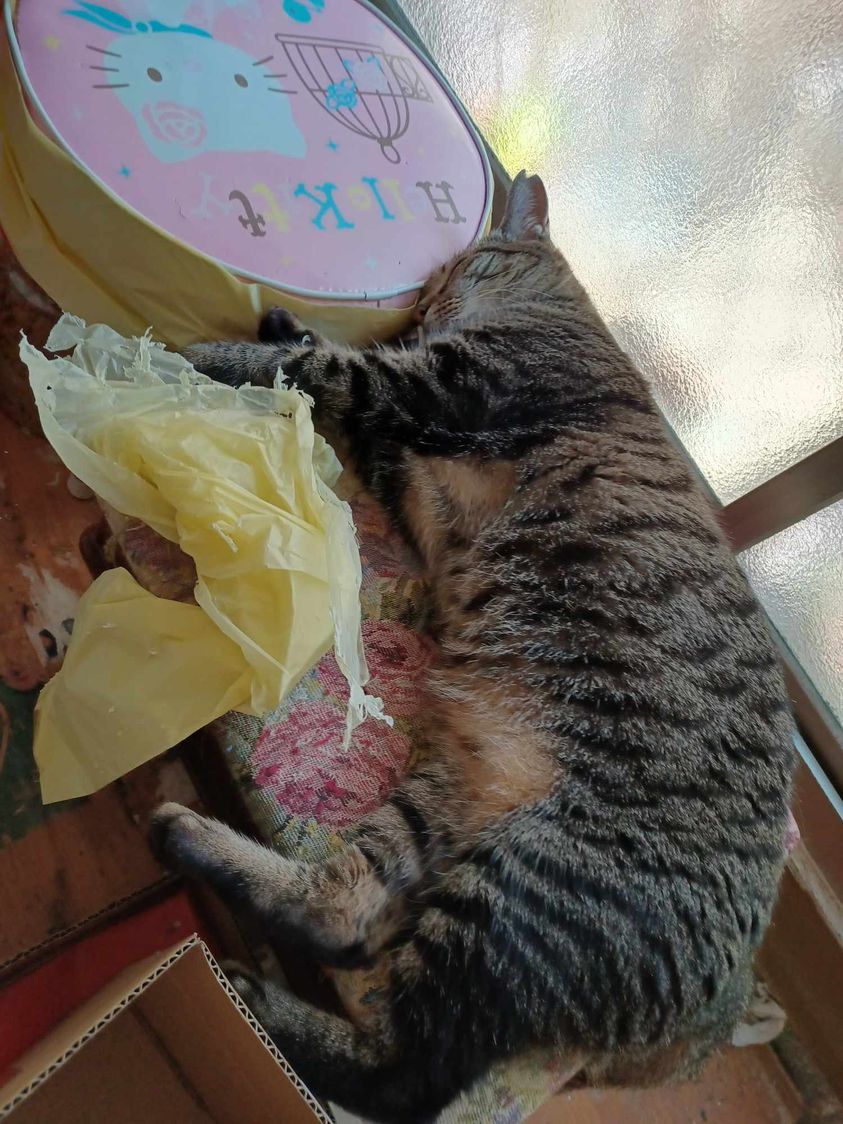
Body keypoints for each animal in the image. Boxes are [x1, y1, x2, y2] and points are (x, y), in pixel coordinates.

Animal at [151, 172, 796, 1123]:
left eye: (449, 274)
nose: (416, 309)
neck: (566, 315)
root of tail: (720, 1004)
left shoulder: (446, 388)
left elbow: (324, 372)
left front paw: (213, 354)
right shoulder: (406, 459)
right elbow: (327, 378)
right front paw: (282, 324)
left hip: (527, 885)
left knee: (404, 1073)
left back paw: (254, 994)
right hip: (449, 799)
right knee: (346, 917)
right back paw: (209, 861)